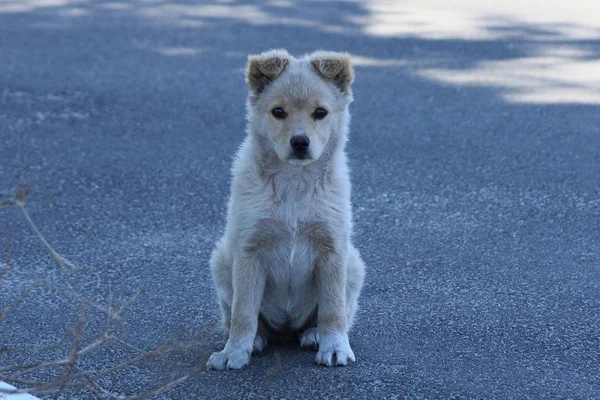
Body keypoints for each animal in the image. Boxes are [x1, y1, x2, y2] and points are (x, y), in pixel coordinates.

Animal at [206, 48, 366, 370]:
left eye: (320, 113)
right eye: (278, 112)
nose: (300, 142)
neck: (295, 184)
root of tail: (287, 329)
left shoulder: (333, 250)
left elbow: (332, 308)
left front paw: (335, 347)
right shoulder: (249, 250)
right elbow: (244, 311)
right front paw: (234, 352)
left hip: (354, 264)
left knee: (334, 313)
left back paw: (314, 335)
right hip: (221, 261)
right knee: (241, 317)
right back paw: (256, 340)